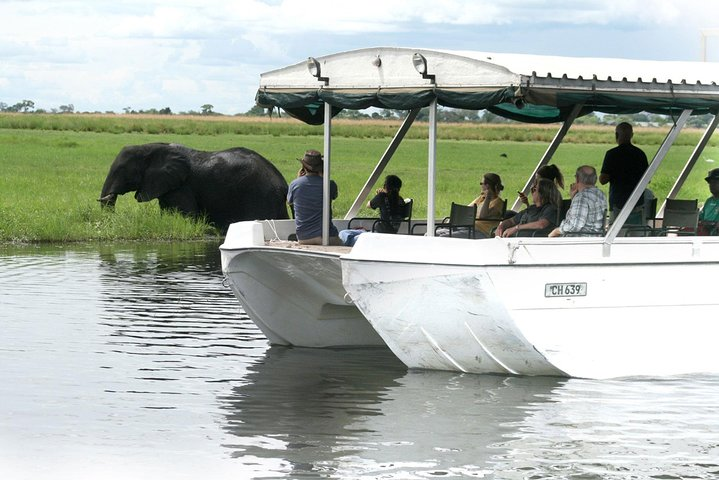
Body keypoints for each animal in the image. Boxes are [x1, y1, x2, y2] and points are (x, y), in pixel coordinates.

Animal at [99, 143, 290, 230]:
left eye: (123, 171)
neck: (150, 147)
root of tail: (283, 185)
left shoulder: (183, 187)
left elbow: (187, 215)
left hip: (260, 196)